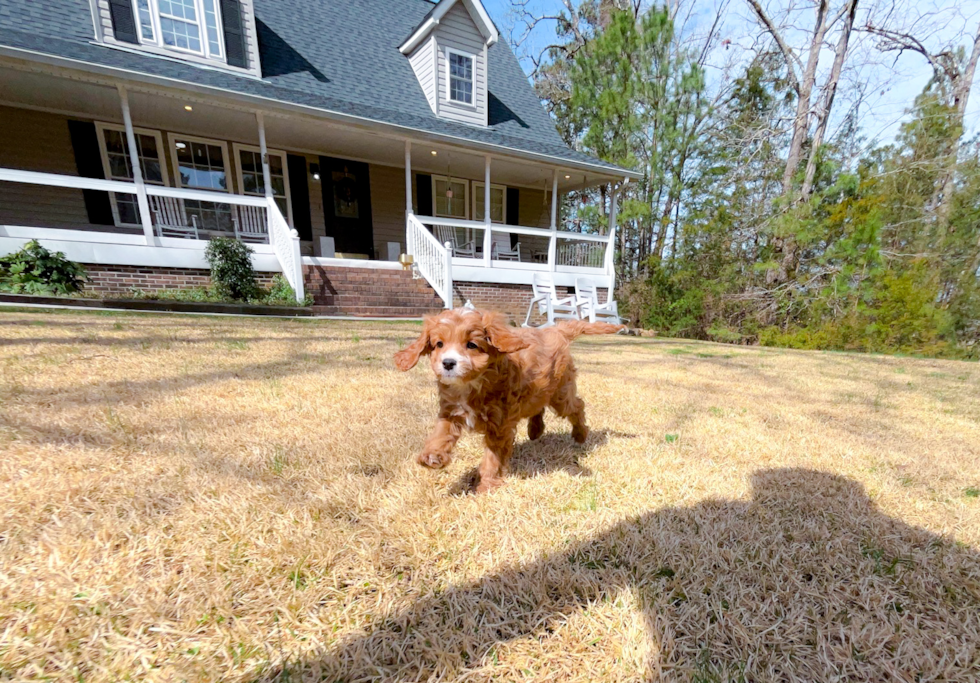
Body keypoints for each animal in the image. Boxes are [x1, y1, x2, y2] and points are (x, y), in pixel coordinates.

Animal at [390, 308, 620, 492]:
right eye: (439, 344)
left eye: (471, 344)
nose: (448, 363)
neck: (472, 384)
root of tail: (554, 330)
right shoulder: (451, 411)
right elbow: (441, 434)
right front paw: (433, 456)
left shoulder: (499, 425)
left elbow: (493, 458)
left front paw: (487, 486)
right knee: (538, 407)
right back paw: (535, 430)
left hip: (561, 393)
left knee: (576, 406)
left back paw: (580, 434)